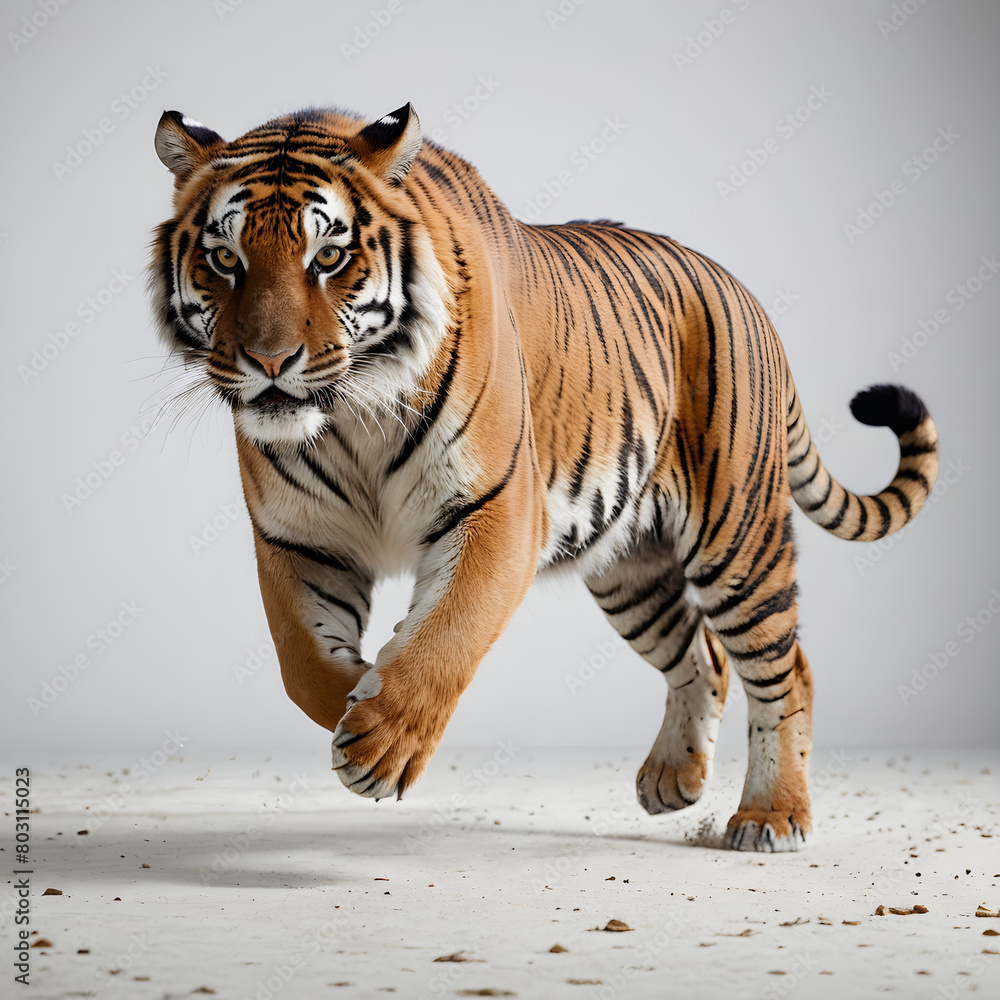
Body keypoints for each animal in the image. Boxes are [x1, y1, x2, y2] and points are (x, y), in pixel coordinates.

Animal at [150, 103, 938, 852]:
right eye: (224, 258)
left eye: (330, 256)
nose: (268, 361)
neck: (352, 417)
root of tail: (744, 294)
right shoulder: (299, 540)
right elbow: (302, 662)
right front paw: (358, 696)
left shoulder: (497, 508)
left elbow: (450, 631)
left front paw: (383, 741)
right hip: (631, 568)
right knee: (704, 656)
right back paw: (673, 779)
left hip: (737, 538)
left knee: (784, 668)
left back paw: (773, 817)